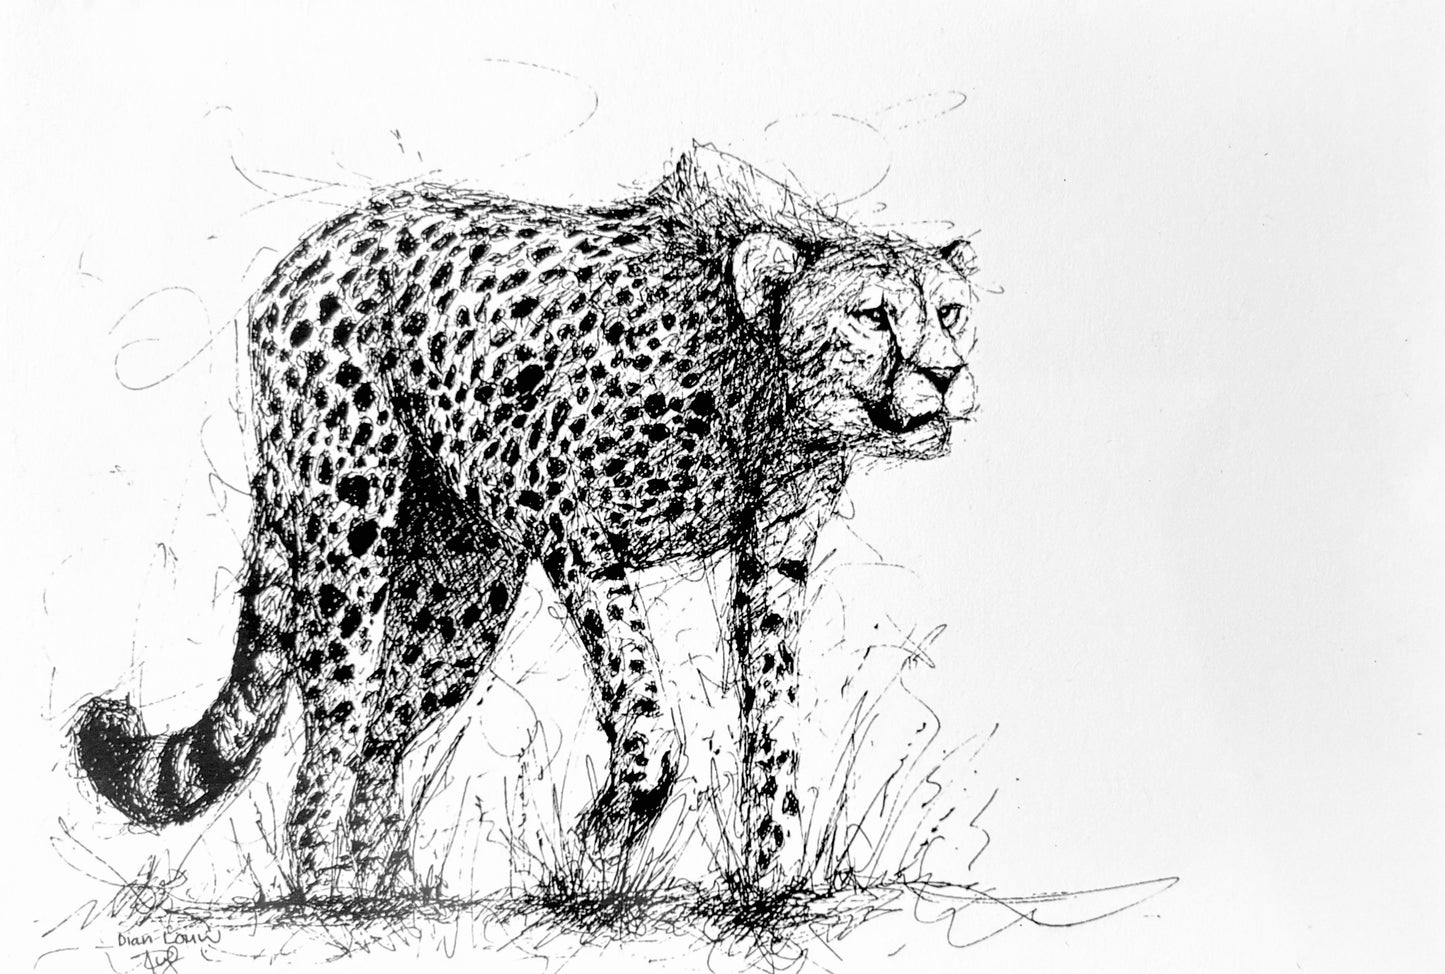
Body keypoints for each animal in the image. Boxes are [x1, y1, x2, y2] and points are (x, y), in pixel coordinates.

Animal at [72, 144, 981, 898]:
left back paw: (386, 882)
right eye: (871, 316)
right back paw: (322, 880)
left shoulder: (773, 555)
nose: (945, 374)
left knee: (383, 731)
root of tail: (315, 247)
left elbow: (775, 718)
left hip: (462, 596)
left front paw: (770, 875)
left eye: (949, 312)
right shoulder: (571, 524)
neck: (760, 385)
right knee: (336, 707)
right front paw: (599, 847)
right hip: (350, 528)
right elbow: (645, 707)